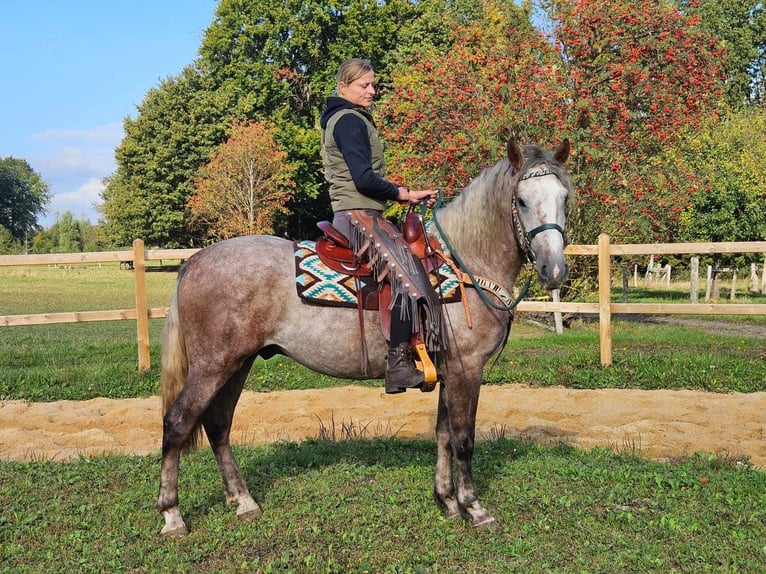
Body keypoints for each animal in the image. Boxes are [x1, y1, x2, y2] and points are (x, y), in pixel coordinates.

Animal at [159, 137, 572, 536]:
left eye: (565, 197)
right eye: (521, 200)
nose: (553, 269)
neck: (463, 264)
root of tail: (193, 261)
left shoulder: (449, 371)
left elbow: (442, 435)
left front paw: (447, 501)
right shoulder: (466, 368)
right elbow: (463, 439)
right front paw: (474, 508)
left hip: (237, 364)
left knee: (218, 424)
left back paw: (243, 501)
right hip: (212, 367)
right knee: (177, 422)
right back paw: (172, 516)